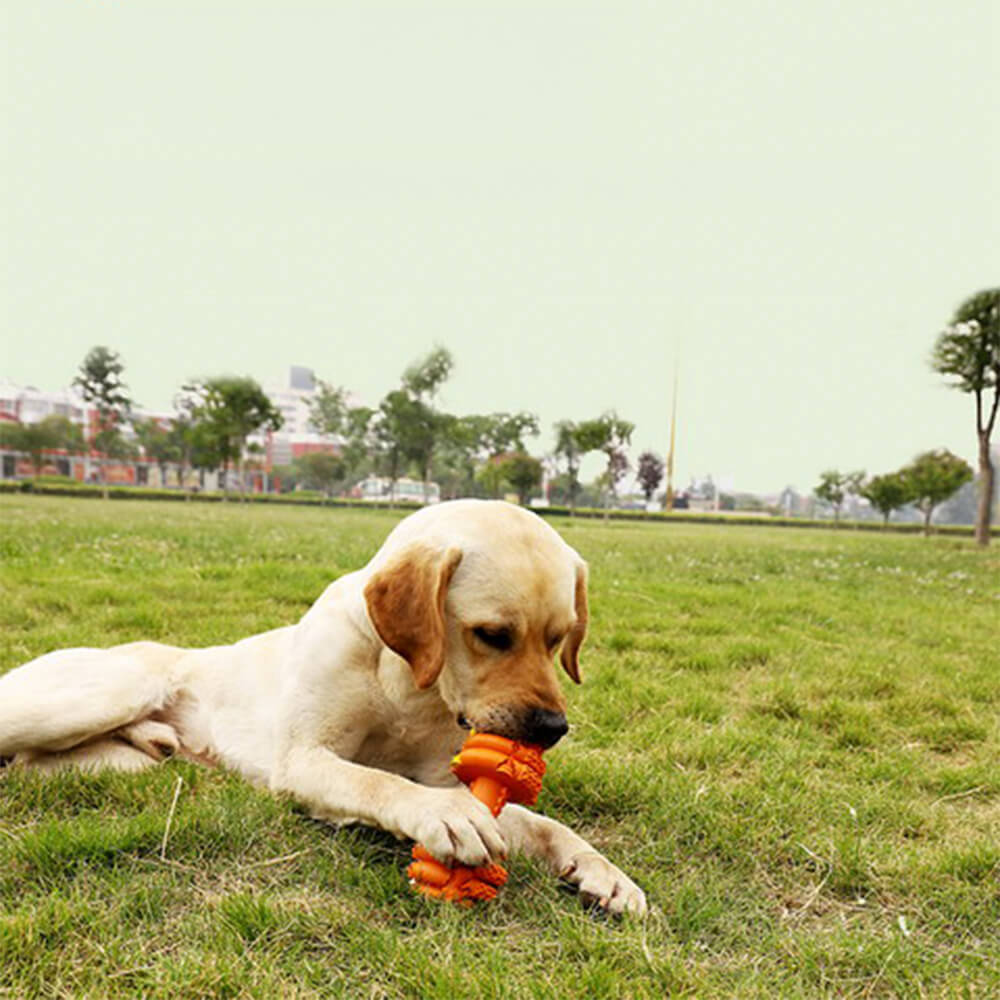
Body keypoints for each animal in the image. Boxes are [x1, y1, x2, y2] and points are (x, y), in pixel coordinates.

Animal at [0, 500, 648, 916]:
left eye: (560, 639)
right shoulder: (304, 761)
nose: (552, 727)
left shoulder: (446, 773)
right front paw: (442, 817)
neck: (408, 685)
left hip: (127, 755)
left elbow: (546, 824)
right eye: (491, 635)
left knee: (39, 765)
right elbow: (377, 782)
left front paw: (603, 873)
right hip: (105, 692)